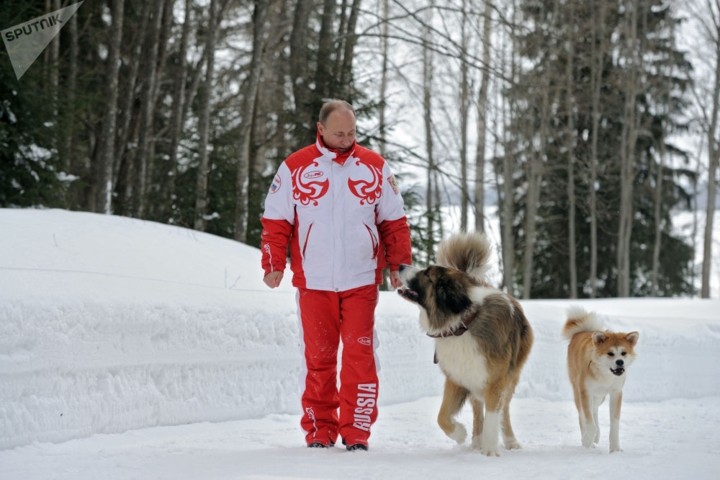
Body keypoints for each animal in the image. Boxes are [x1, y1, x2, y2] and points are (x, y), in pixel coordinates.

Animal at [564, 308, 640, 454]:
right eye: (610, 353)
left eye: (623, 353)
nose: (620, 362)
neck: (605, 375)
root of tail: (581, 332)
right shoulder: (585, 391)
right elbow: (589, 422)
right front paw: (586, 440)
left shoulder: (616, 393)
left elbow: (614, 423)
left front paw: (615, 448)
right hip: (578, 391)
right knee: (583, 415)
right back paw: (588, 437)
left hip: (600, 396)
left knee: (594, 410)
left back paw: (596, 436)